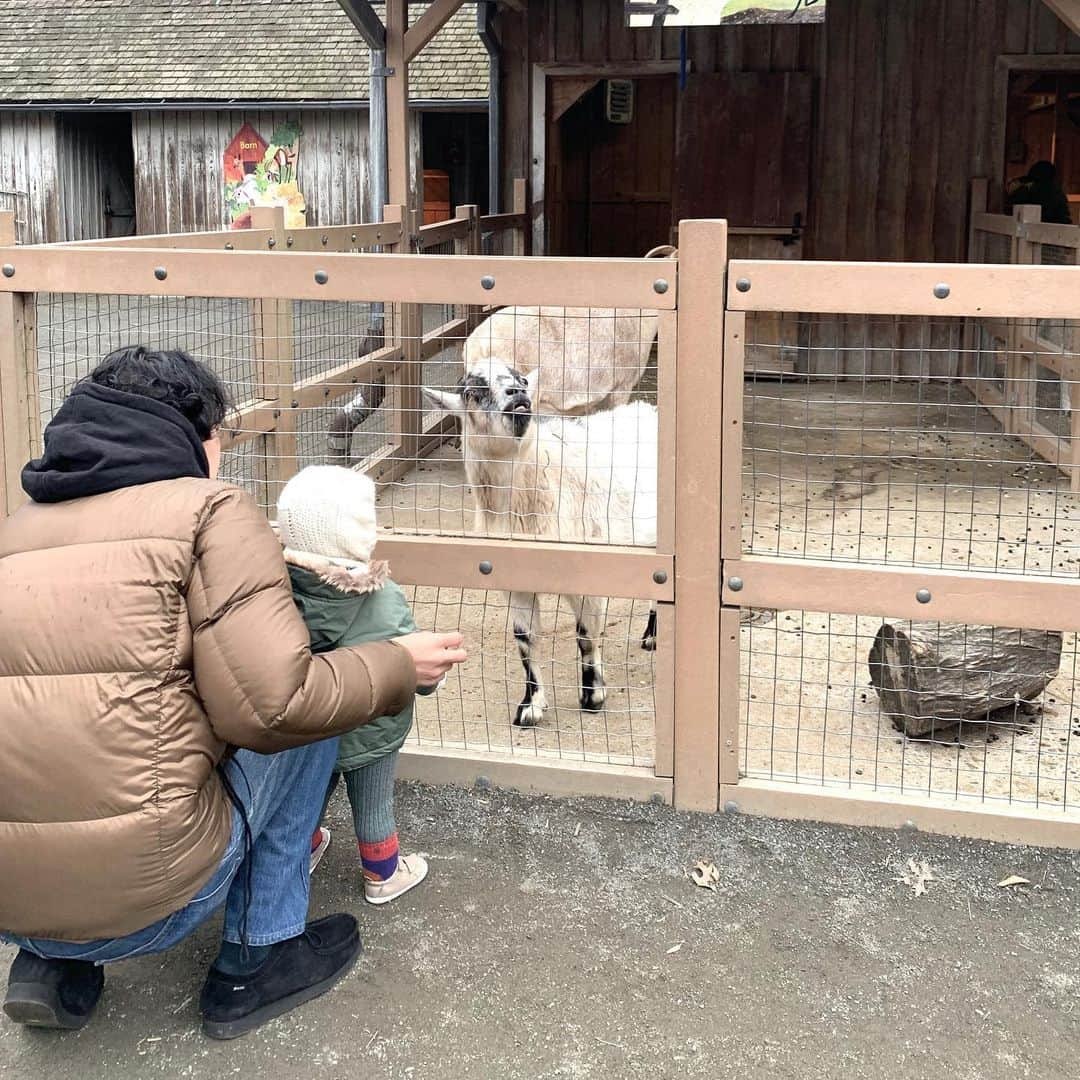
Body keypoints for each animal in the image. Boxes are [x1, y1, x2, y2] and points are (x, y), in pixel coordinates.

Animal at [421, 360, 656, 725]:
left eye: (523, 380)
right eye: (474, 391)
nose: (517, 393)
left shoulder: (584, 568)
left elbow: (586, 634)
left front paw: (593, 696)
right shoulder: (513, 579)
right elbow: (525, 640)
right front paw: (530, 707)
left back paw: (652, 638)